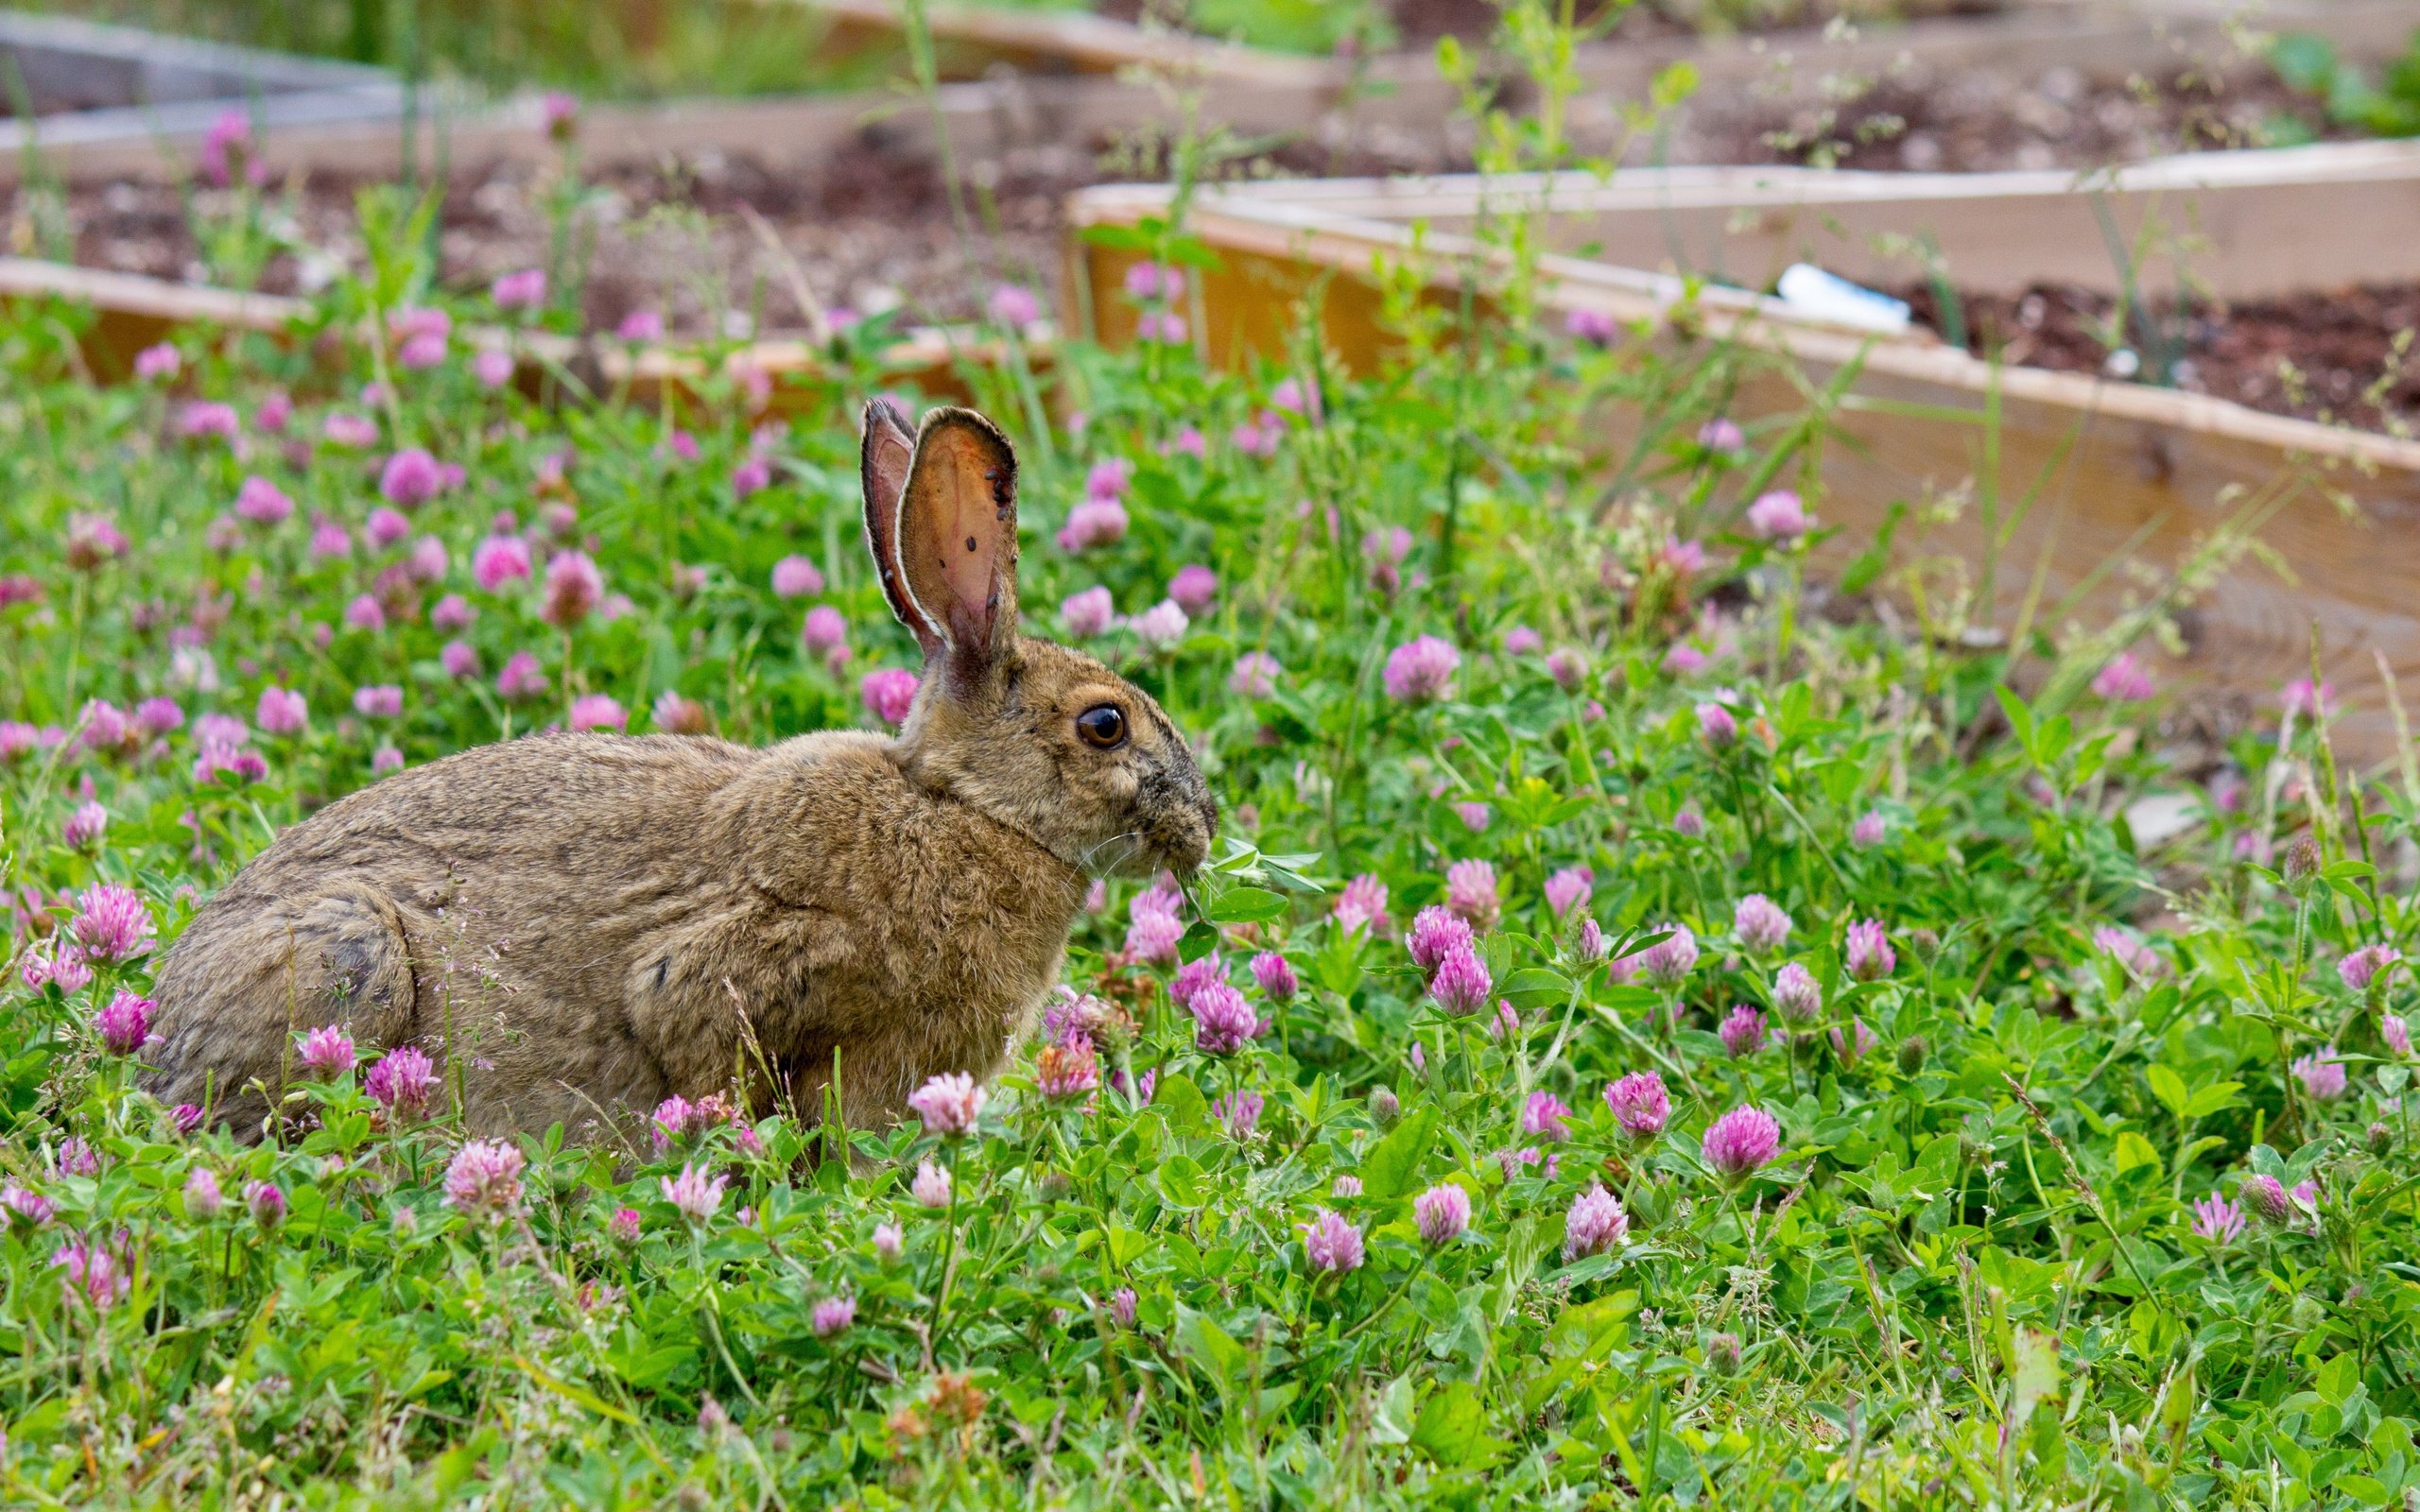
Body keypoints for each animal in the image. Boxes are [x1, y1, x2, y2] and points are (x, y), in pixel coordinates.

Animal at [141, 399, 1219, 1132]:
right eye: (1105, 725)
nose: (1203, 825)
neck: (965, 809)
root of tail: (156, 1041)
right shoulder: (736, 973)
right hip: (349, 956)